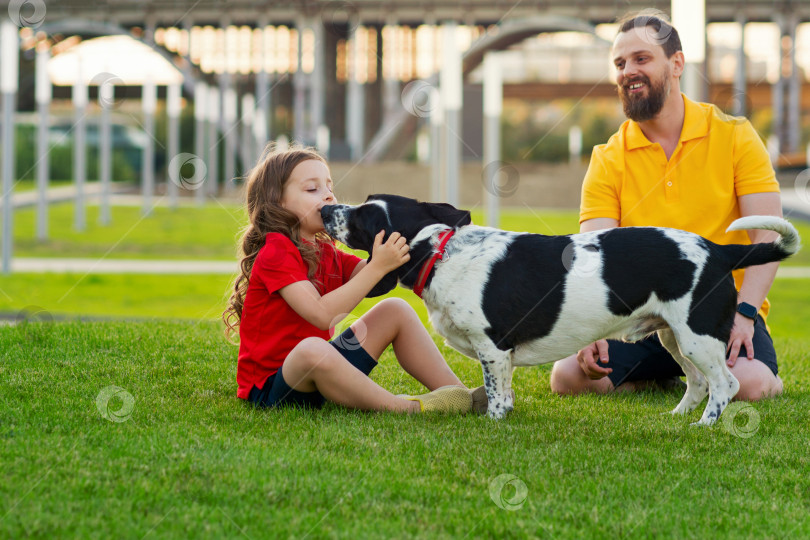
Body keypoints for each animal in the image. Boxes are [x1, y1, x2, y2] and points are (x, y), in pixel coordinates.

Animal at [320, 195, 796, 426]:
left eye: (364, 217)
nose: (324, 208)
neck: (442, 252)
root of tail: (719, 250)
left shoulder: (493, 351)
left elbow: (497, 399)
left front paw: (494, 426)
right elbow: (504, 394)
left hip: (698, 338)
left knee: (726, 385)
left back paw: (705, 426)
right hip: (674, 337)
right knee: (697, 384)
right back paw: (677, 420)